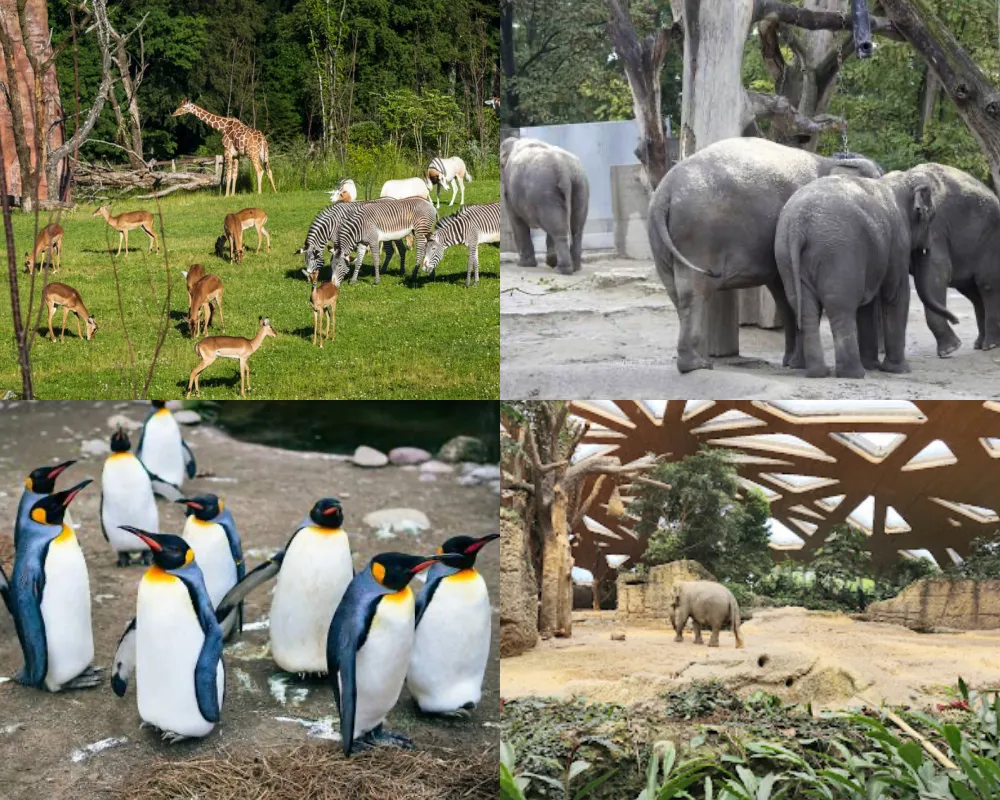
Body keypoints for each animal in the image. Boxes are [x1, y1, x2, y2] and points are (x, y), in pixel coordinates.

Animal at [498, 136, 584, 274]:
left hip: (546, 192)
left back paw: (563, 269)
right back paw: (573, 267)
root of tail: (564, 170)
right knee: (576, 228)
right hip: (579, 187)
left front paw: (524, 265)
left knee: (558, 229)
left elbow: (517, 221)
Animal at [644, 136, 880, 374]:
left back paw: (700, 361)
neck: (832, 161)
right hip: (699, 235)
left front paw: (791, 363)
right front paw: (798, 364)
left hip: (661, 241)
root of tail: (666, 191)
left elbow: (784, 295)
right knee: (695, 291)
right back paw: (696, 365)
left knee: (676, 291)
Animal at [772, 168, 960, 378]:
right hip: (839, 253)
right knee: (841, 307)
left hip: (786, 256)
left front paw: (874, 365)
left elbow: (869, 301)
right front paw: (899, 370)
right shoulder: (898, 242)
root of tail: (799, 225)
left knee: (804, 307)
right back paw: (853, 373)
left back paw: (818, 372)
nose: (956, 320)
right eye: (931, 215)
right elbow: (895, 294)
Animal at [904, 164, 1000, 354]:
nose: (956, 320)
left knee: (987, 284)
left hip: (991, 240)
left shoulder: (934, 229)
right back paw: (979, 344)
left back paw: (990, 345)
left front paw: (949, 350)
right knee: (973, 292)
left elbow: (938, 273)